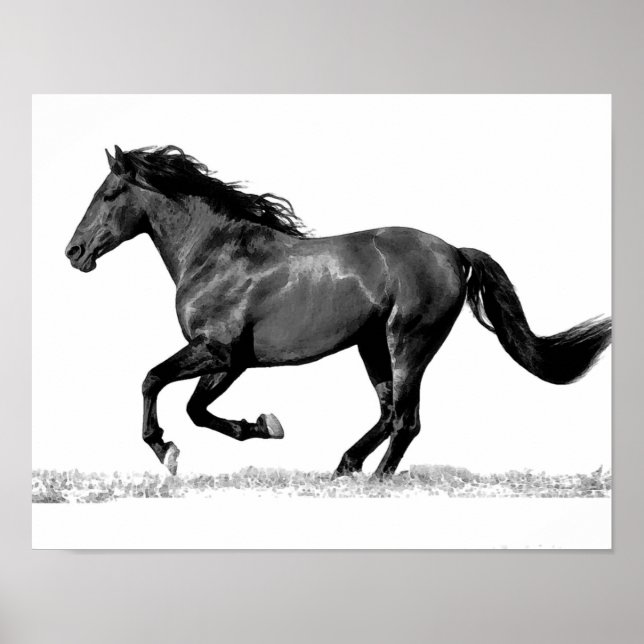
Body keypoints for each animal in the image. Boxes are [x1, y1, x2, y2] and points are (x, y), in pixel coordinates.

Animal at [65, 146, 611, 477]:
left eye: (109, 194)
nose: (74, 251)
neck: (218, 253)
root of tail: (454, 251)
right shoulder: (233, 362)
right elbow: (196, 408)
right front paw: (264, 425)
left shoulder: (218, 352)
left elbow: (154, 381)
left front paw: (168, 450)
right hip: (372, 346)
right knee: (389, 412)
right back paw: (346, 466)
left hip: (407, 343)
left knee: (406, 420)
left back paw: (373, 480)